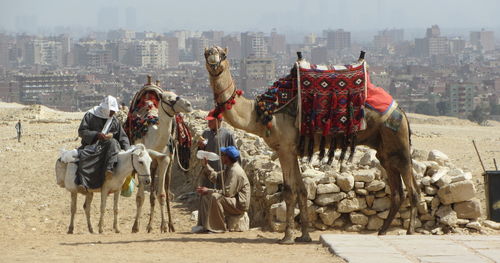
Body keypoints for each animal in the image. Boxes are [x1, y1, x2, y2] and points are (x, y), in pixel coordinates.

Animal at [127, 83, 193, 234]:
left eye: (176, 95)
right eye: (169, 99)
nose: (188, 105)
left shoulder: (165, 160)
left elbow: (161, 194)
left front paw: (164, 226)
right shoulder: (141, 162)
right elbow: (140, 197)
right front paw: (135, 226)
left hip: (167, 164)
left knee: (165, 192)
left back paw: (169, 225)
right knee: (150, 193)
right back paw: (148, 225)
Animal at [202, 46, 418, 244]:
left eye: (223, 54)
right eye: (207, 53)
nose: (213, 61)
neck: (262, 113)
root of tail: (401, 110)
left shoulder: (285, 148)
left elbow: (290, 191)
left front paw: (287, 237)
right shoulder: (292, 151)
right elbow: (302, 190)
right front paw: (304, 235)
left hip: (398, 141)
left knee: (412, 189)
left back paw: (410, 232)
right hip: (385, 150)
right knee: (397, 190)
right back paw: (382, 231)